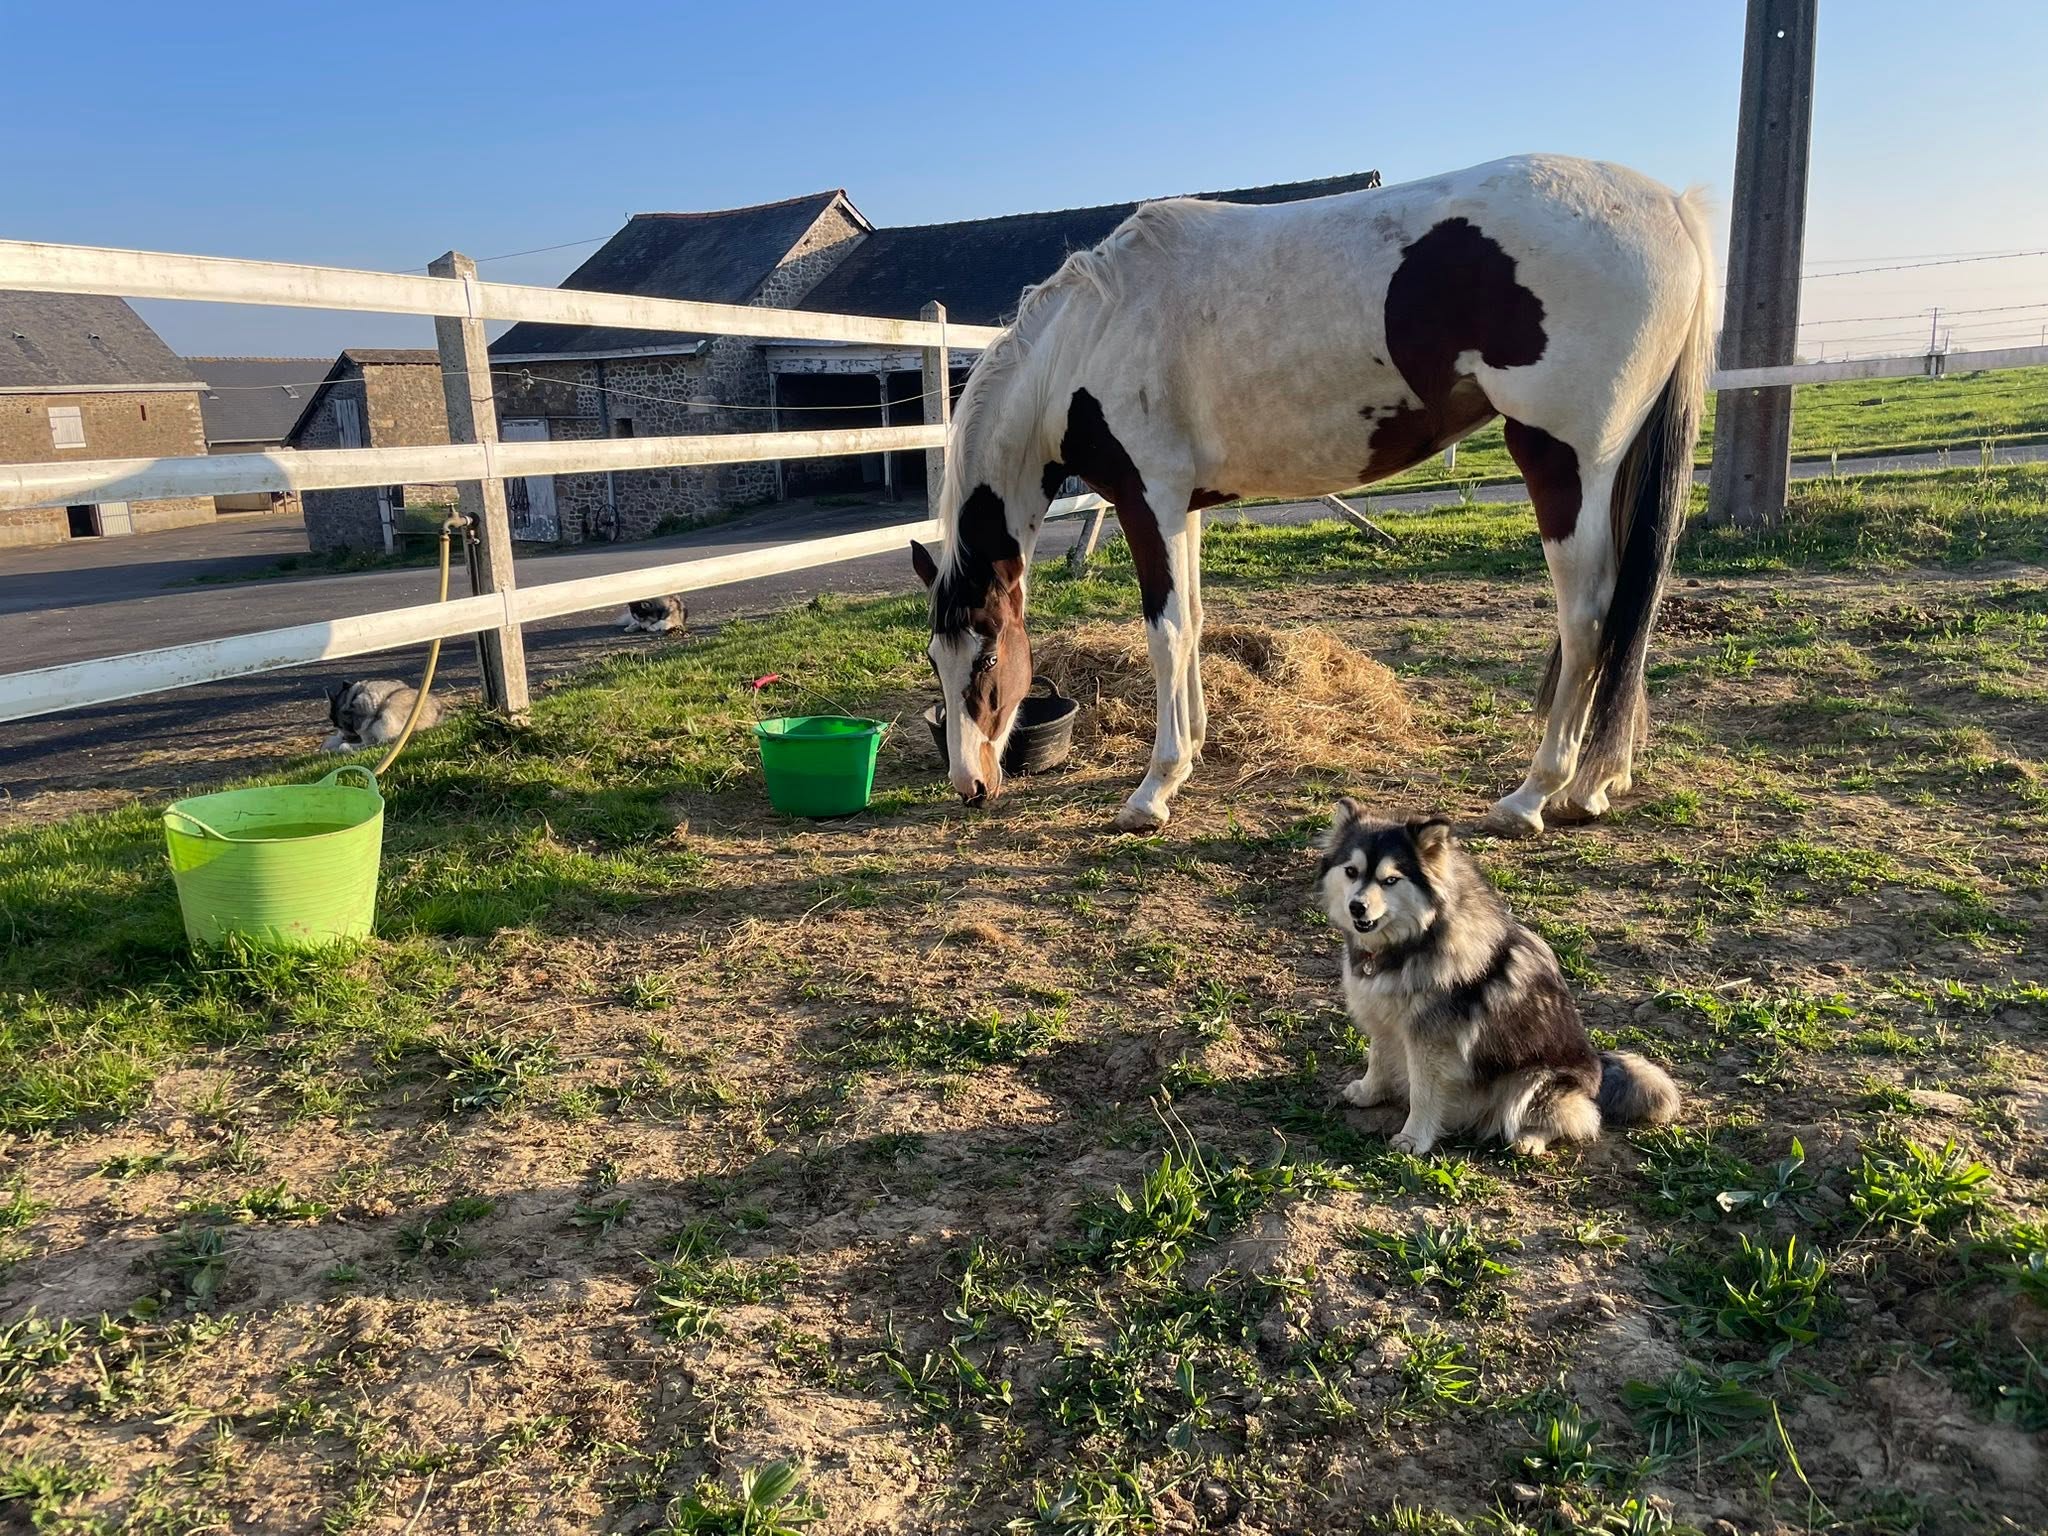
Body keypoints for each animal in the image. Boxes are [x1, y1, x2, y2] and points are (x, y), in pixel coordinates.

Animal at [911, 154, 1714, 836]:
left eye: (987, 658)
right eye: (934, 659)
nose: (970, 785)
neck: (1091, 335)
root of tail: (1671, 209)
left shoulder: (1148, 502)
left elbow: (1166, 635)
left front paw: (1154, 789)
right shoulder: (1180, 509)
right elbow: (1193, 623)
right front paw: (1190, 755)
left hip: (1564, 464)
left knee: (1587, 620)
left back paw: (1532, 796)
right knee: (1625, 617)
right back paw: (1594, 785)